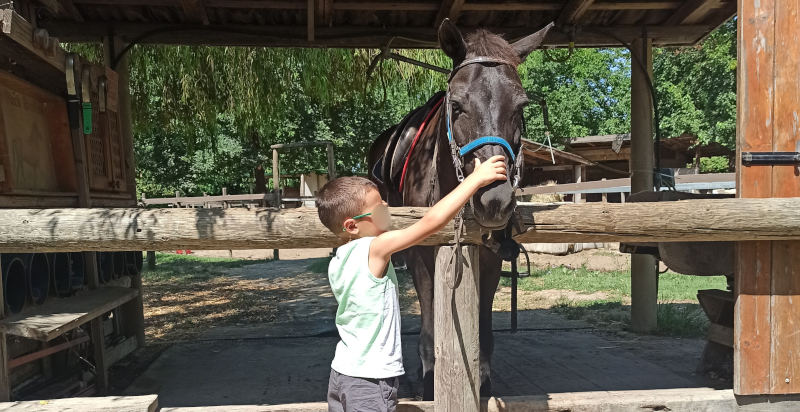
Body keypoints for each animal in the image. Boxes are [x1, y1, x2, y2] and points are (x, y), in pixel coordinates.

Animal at [367, 19, 554, 400]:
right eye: (456, 105)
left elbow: (484, 335)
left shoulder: (492, 258)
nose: (494, 199)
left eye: (521, 106)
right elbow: (429, 332)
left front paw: (483, 384)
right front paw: (429, 385)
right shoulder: (420, 257)